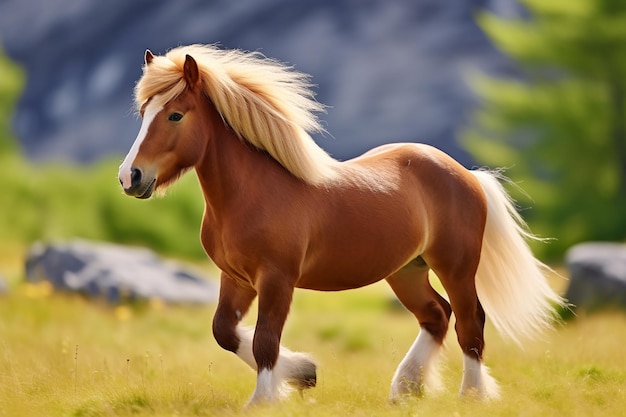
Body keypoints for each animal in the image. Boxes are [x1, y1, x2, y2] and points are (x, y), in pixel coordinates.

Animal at [118, 45, 560, 406]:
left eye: (176, 114)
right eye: (142, 113)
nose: (130, 177)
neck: (253, 193)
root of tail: (467, 174)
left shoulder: (276, 279)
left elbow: (265, 342)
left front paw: (266, 399)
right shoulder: (237, 278)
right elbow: (224, 332)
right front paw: (302, 374)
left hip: (455, 266)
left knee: (471, 323)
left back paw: (471, 395)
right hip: (406, 270)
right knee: (437, 315)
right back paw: (405, 389)